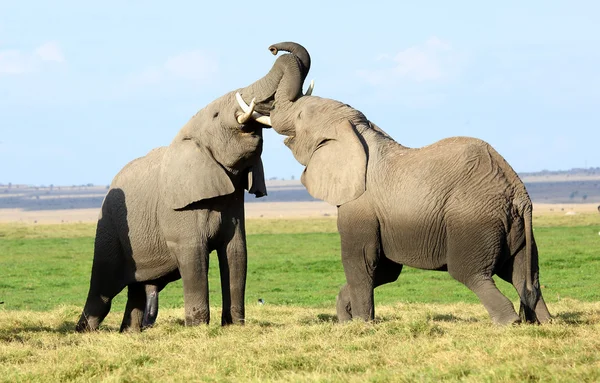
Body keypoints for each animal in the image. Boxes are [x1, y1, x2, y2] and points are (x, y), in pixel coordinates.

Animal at [75, 41, 314, 330]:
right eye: (217, 114)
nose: (273, 49)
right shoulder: (181, 212)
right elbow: (194, 255)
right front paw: (199, 328)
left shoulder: (233, 202)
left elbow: (236, 253)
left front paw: (233, 326)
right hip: (109, 224)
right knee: (103, 288)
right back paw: (84, 332)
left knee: (136, 291)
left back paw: (129, 334)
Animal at [260, 61, 552, 326]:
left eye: (300, 117)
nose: (273, 48)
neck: (359, 132)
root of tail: (519, 195)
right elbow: (384, 270)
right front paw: (347, 318)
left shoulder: (359, 206)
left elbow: (361, 262)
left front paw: (362, 324)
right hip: (515, 228)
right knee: (524, 276)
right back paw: (543, 322)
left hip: (475, 220)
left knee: (471, 274)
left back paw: (509, 323)